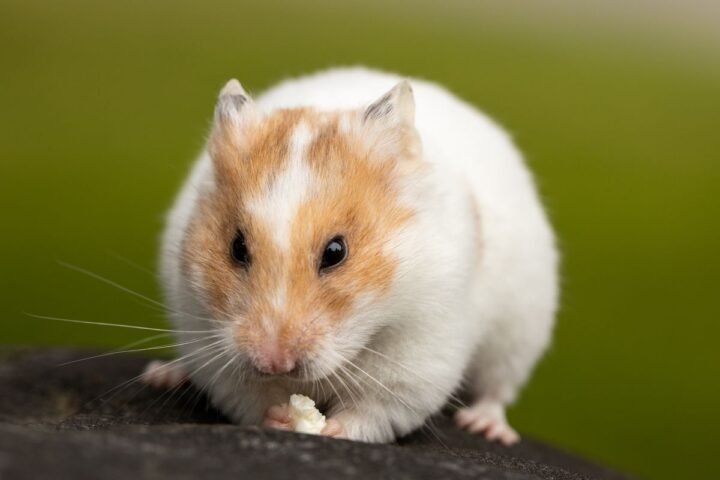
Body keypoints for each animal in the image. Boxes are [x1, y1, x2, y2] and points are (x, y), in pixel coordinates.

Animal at [145, 67, 559, 445]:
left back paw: (487, 427)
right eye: (237, 247)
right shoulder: (210, 341)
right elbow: (249, 398)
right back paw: (163, 374)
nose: (275, 363)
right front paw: (281, 417)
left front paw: (329, 429)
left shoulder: (417, 358)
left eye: (335, 252)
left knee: (497, 388)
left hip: (520, 332)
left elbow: (372, 411)